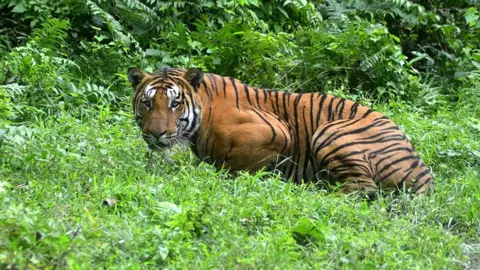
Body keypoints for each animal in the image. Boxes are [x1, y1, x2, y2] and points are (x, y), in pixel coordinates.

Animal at [127, 67, 436, 196]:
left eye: (175, 103)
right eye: (147, 102)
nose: (156, 134)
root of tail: (423, 173)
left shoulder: (276, 132)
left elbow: (238, 167)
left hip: (331, 131)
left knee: (363, 190)